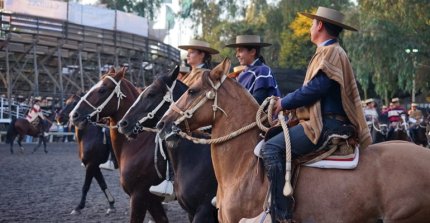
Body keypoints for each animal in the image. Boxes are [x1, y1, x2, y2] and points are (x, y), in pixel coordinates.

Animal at [69, 67, 168, 223]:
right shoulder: (93, 165)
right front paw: (110, 204)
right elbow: (101, 183)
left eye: (102, 90)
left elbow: (86, 185)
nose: (74, 115)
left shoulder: (92, 164)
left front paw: (78, 207)